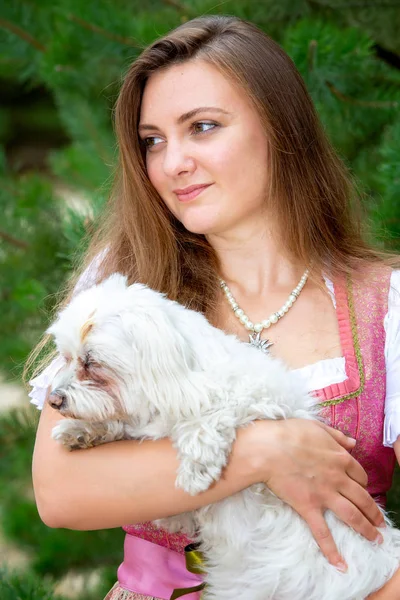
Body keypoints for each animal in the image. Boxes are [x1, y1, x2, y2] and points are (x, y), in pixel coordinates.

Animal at [46, 274, 400, 596]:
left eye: (91, 362)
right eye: (66, 357)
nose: (54, 399)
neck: (181, 377)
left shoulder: (263, 398)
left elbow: (212, 417)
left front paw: (197, 468)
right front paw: (82, 431)